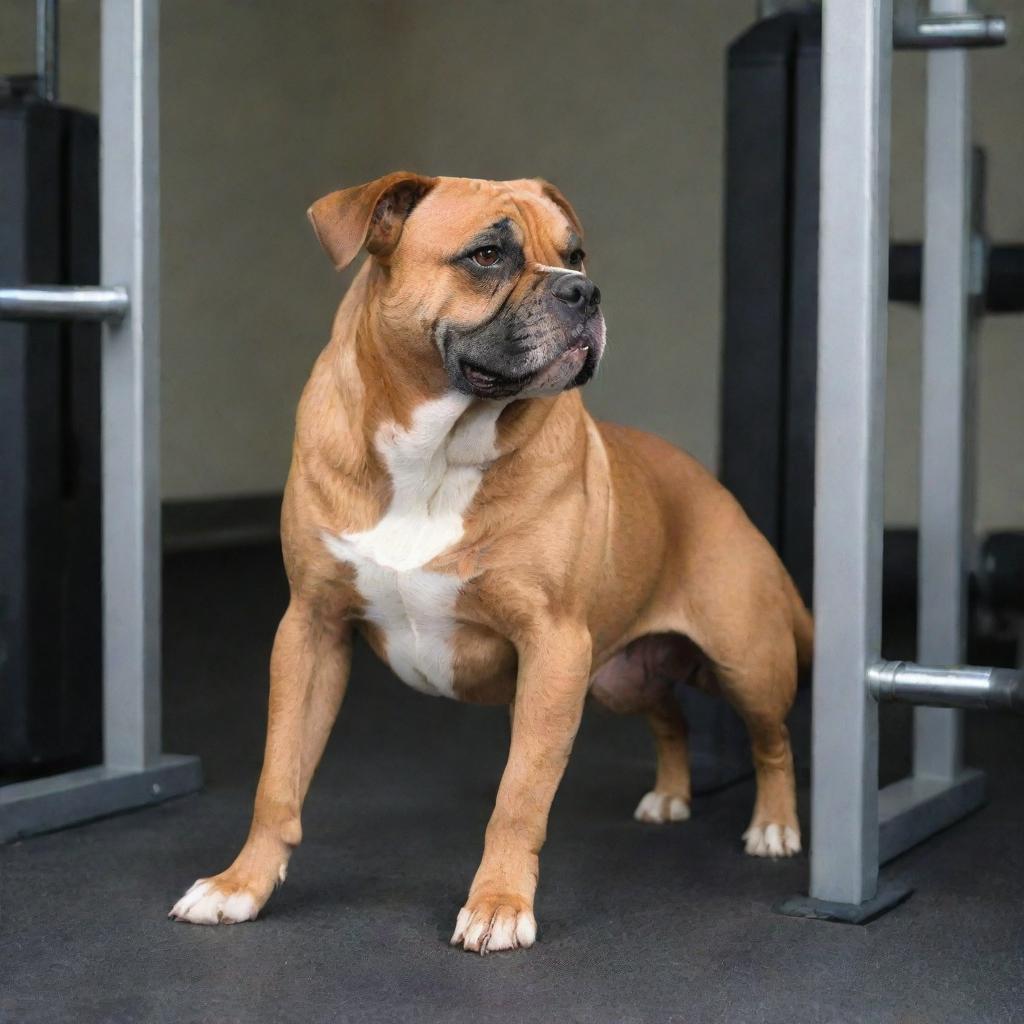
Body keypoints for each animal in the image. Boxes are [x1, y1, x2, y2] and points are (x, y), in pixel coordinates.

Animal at [172, 174, 811, 950]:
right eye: (485, 255)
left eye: (575, 253)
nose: (583, 291)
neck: (436, 450)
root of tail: (717, 490)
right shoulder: (310, 631)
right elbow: (278, 782)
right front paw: (241, 886)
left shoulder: (553, 649)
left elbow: (520, 795)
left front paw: (500, 903)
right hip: (620, 676)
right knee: (670, 716)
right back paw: (669, 795)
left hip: (746, 663)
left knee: (774, 740)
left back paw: (774, 825)